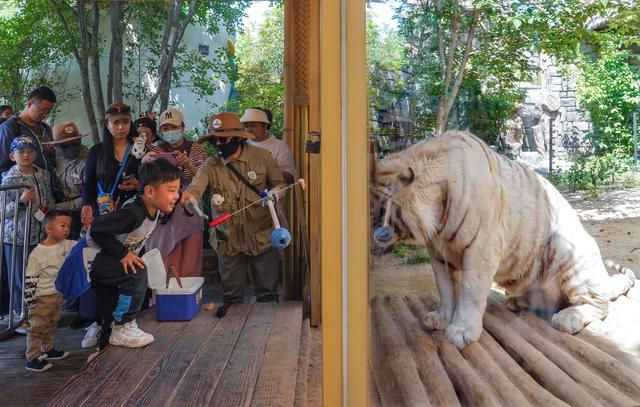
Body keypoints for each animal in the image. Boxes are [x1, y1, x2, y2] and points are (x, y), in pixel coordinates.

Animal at [376, 131, 636, 350]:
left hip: (566, 251)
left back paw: (568, 318)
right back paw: (517, 302)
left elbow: (470, 291)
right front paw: (441, 317)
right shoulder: (439, 256)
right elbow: (446, 289)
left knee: (600, 304)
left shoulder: (481, 249)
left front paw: (461, 331)